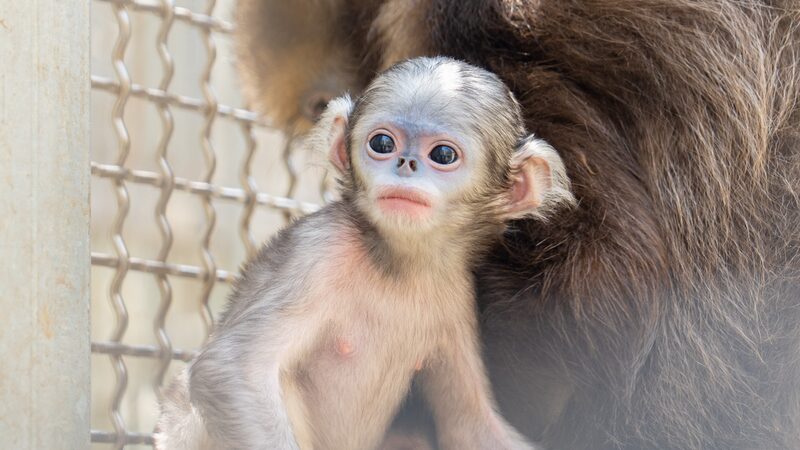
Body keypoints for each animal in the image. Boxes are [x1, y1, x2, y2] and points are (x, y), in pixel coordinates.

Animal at [155, 57, 576, 450]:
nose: (405, 164)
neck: (398, 265)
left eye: (442, 154)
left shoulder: (457, 294)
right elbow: (229, 368)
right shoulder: (321, 248)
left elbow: (470, 424)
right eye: (382, 144)